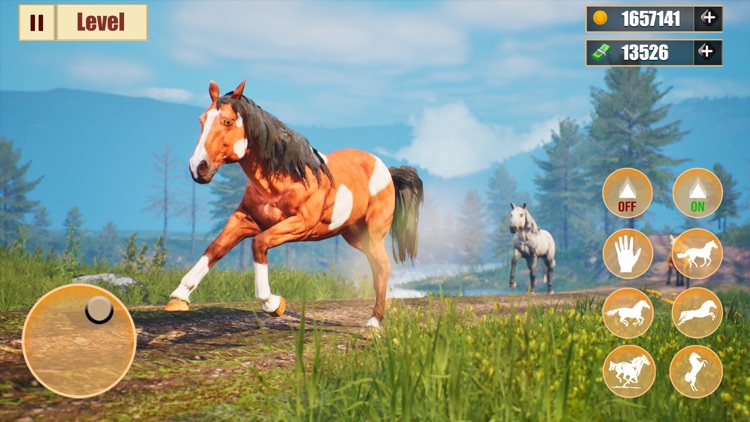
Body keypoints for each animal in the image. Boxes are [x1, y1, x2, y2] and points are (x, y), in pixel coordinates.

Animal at [164, 80, 424, 329]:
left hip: (373, 232)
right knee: (376, 266)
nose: (198, 167)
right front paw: (178, 298)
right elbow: (216, 248)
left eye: (227, 121)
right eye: (201, 119)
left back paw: (374, 322)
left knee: (383, 266)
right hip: (354, 235)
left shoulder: (300, 225)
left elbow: (259, 244)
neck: (283, 180)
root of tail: (388, 173)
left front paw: (274, 304)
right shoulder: (245, 219)